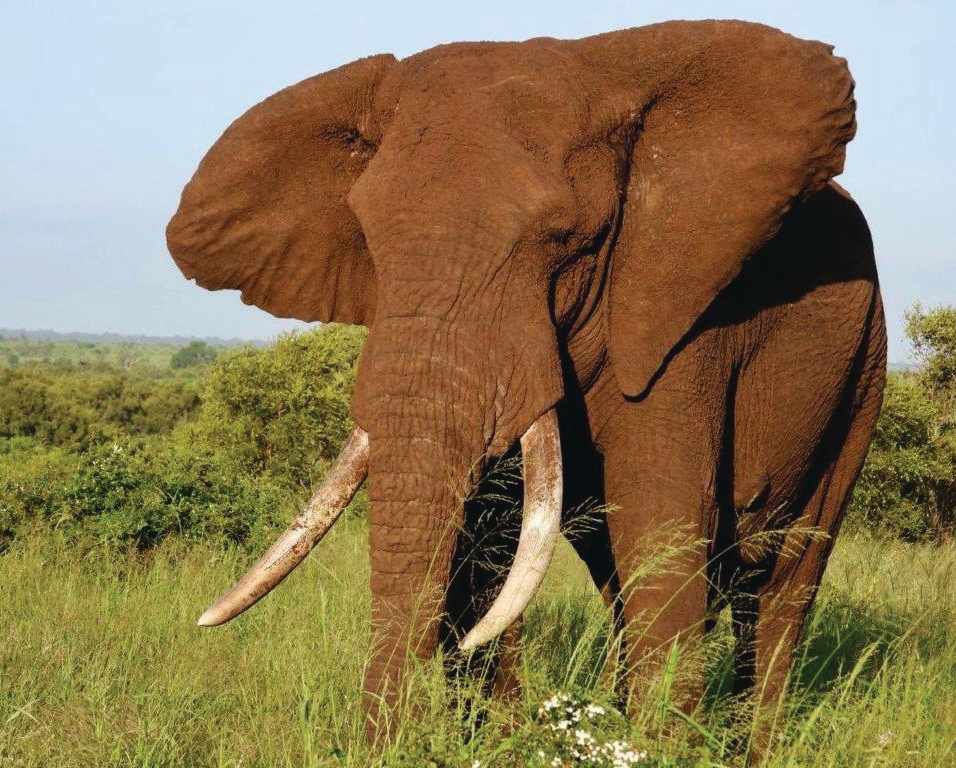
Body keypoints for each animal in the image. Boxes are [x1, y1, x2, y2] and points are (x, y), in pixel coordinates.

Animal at [166, 19, 886, 739]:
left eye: (563, 238)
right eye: (367, 238)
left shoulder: (686, 322)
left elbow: (661, 537)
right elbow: (485, 548)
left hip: (862, 376)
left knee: (782, 587)